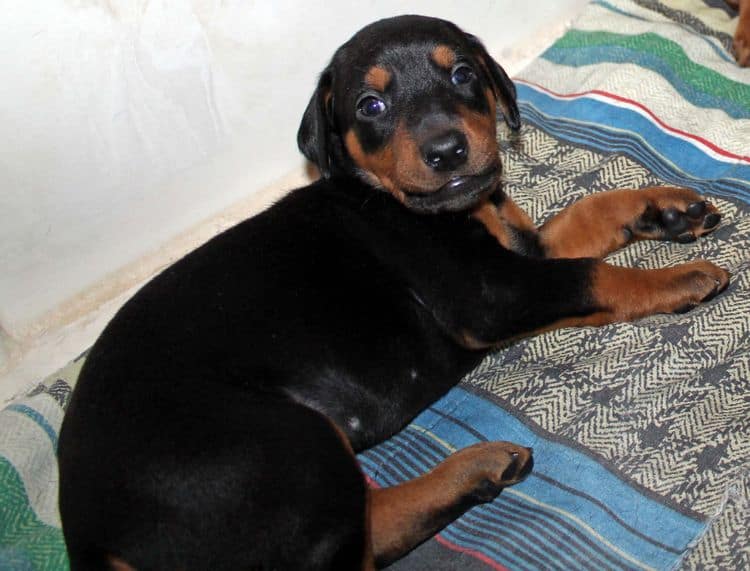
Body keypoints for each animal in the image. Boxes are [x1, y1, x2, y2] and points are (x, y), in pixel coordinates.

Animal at [61, 15, 732, 568]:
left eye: (462, 73)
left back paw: (477, 468)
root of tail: (89, 536)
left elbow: (589, 214)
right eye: (371, 104)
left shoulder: (518, 253)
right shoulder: (490, 293)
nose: (447, 150)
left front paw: (667, 210)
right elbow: (594, 275)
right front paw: (681, 278)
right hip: (283, 445)